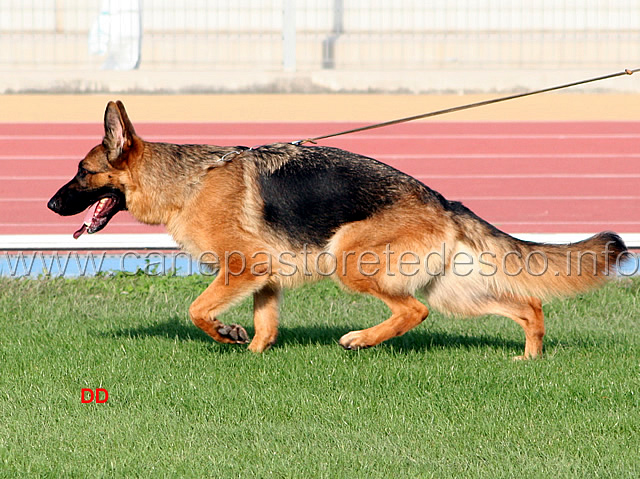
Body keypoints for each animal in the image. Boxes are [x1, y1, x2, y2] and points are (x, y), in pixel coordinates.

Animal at [47, 101, 628, 358]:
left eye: (81, 171)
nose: (50, 203)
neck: (188, 182)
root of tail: (442, 201)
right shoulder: (265, 279)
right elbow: (265, 327)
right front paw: (252, 355)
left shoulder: (243, 268)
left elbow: (197, 311)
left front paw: (226, 334)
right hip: (453, 292)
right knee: (528, 307)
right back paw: (529, 358)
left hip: (350, 262)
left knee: (411, 312)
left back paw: (361, 340)